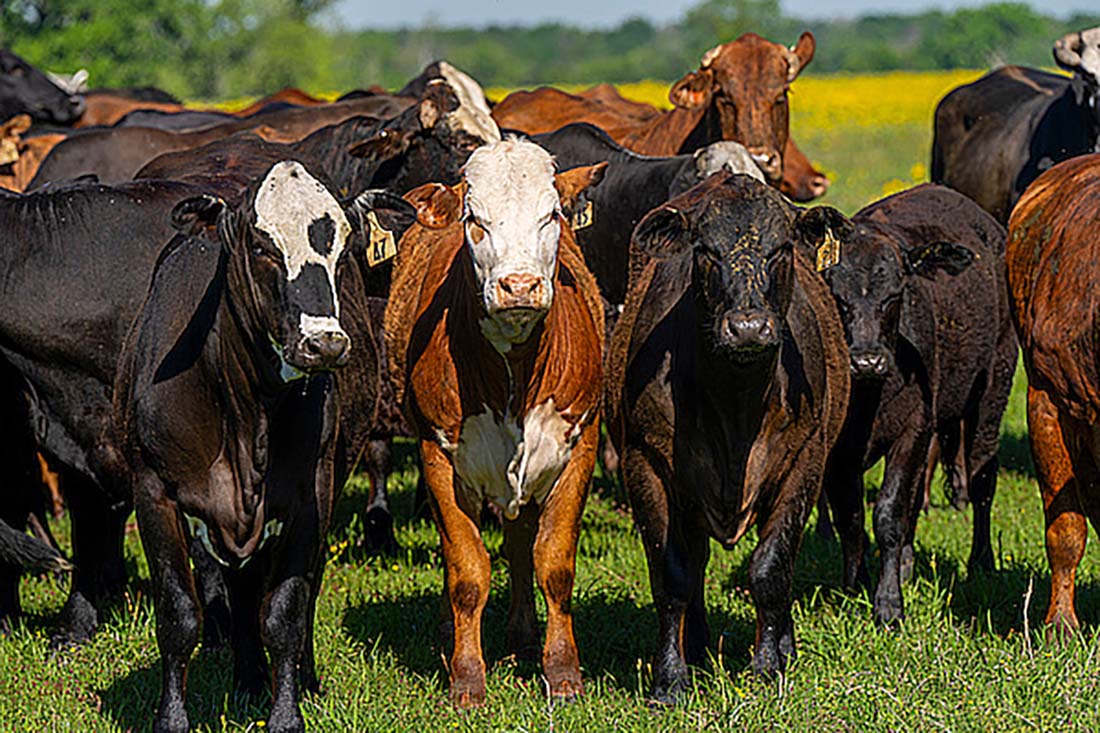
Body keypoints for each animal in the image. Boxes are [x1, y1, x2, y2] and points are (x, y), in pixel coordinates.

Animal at [384, 139, 606, 706]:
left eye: (552, 215)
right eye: (473, 219)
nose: (519, 285)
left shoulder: (579, 446)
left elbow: (553, 563)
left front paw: (563, 673)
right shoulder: (438, 456)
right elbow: (467, 570)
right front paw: (466, 679)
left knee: (521, 541)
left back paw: (524, 633)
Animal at [605, 172, 850, 702]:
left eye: (781, 248)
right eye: (705, 250)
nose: (748, 327)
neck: (736, 407)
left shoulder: (804, 464)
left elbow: (772, 569)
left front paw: (768, 666)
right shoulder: (645, 463)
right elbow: (673, 575)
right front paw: (670, 680)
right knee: (694, 567)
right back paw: (695, 648)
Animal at [817, 184, 1016, 626]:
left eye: (896, 295)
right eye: (837, 297)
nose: (867, 360)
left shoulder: (912, 430)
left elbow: (888, 514)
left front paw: (889, 604)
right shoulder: (838, 451)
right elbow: (851, 519)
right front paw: (854, 587)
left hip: (993, 388)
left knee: (982, 478)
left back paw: (981, 560)